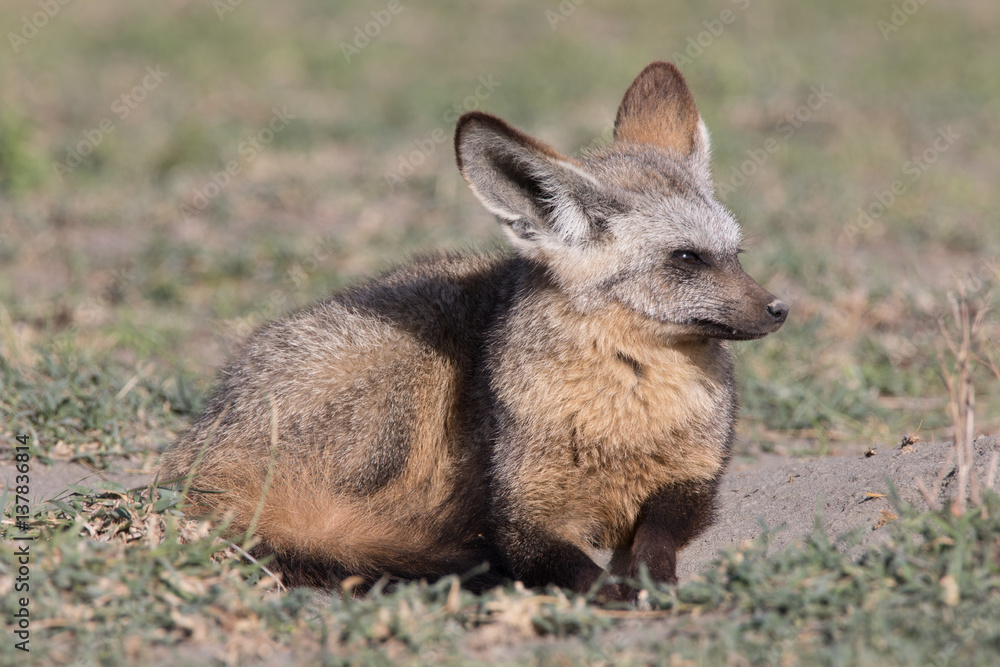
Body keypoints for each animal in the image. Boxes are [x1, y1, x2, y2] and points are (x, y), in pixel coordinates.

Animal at [162, 62, 788, 604]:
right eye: (687, 258)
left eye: (736, 255)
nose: (780, 309)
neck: (623, 414)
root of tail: (199, 442)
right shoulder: (520, 513)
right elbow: (560, 563)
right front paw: (606, 594)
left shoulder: (693, 482)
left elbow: (656, 534)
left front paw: (648, 578)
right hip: (409, 385)